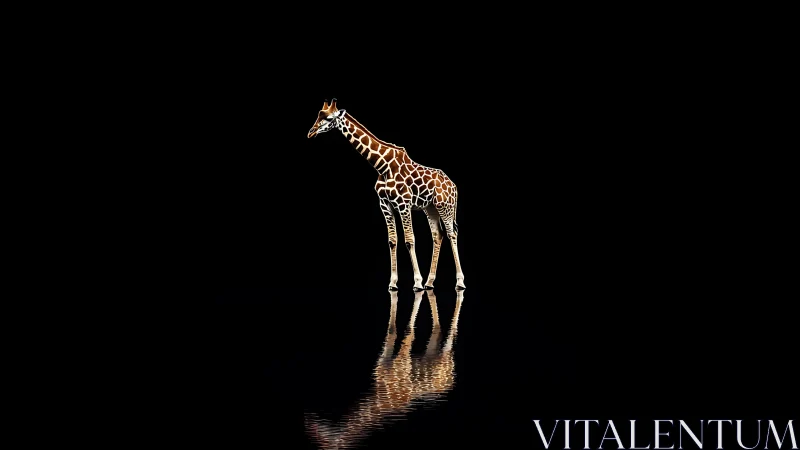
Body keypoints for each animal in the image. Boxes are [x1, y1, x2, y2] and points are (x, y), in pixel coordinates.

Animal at [307, 99, 465, 291]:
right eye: (318, 116)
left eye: (329, 118)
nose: (310, 132)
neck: (382, 165)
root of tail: (454, 186)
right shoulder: (385, 204)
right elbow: (392, 241)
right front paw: (393, 283)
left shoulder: (404, 203)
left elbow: (409, 240)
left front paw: (417, 282)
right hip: (431, 208)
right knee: (438, 235)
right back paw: (429, 282)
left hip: (445, 206)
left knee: (451, 234)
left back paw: (459, 282)